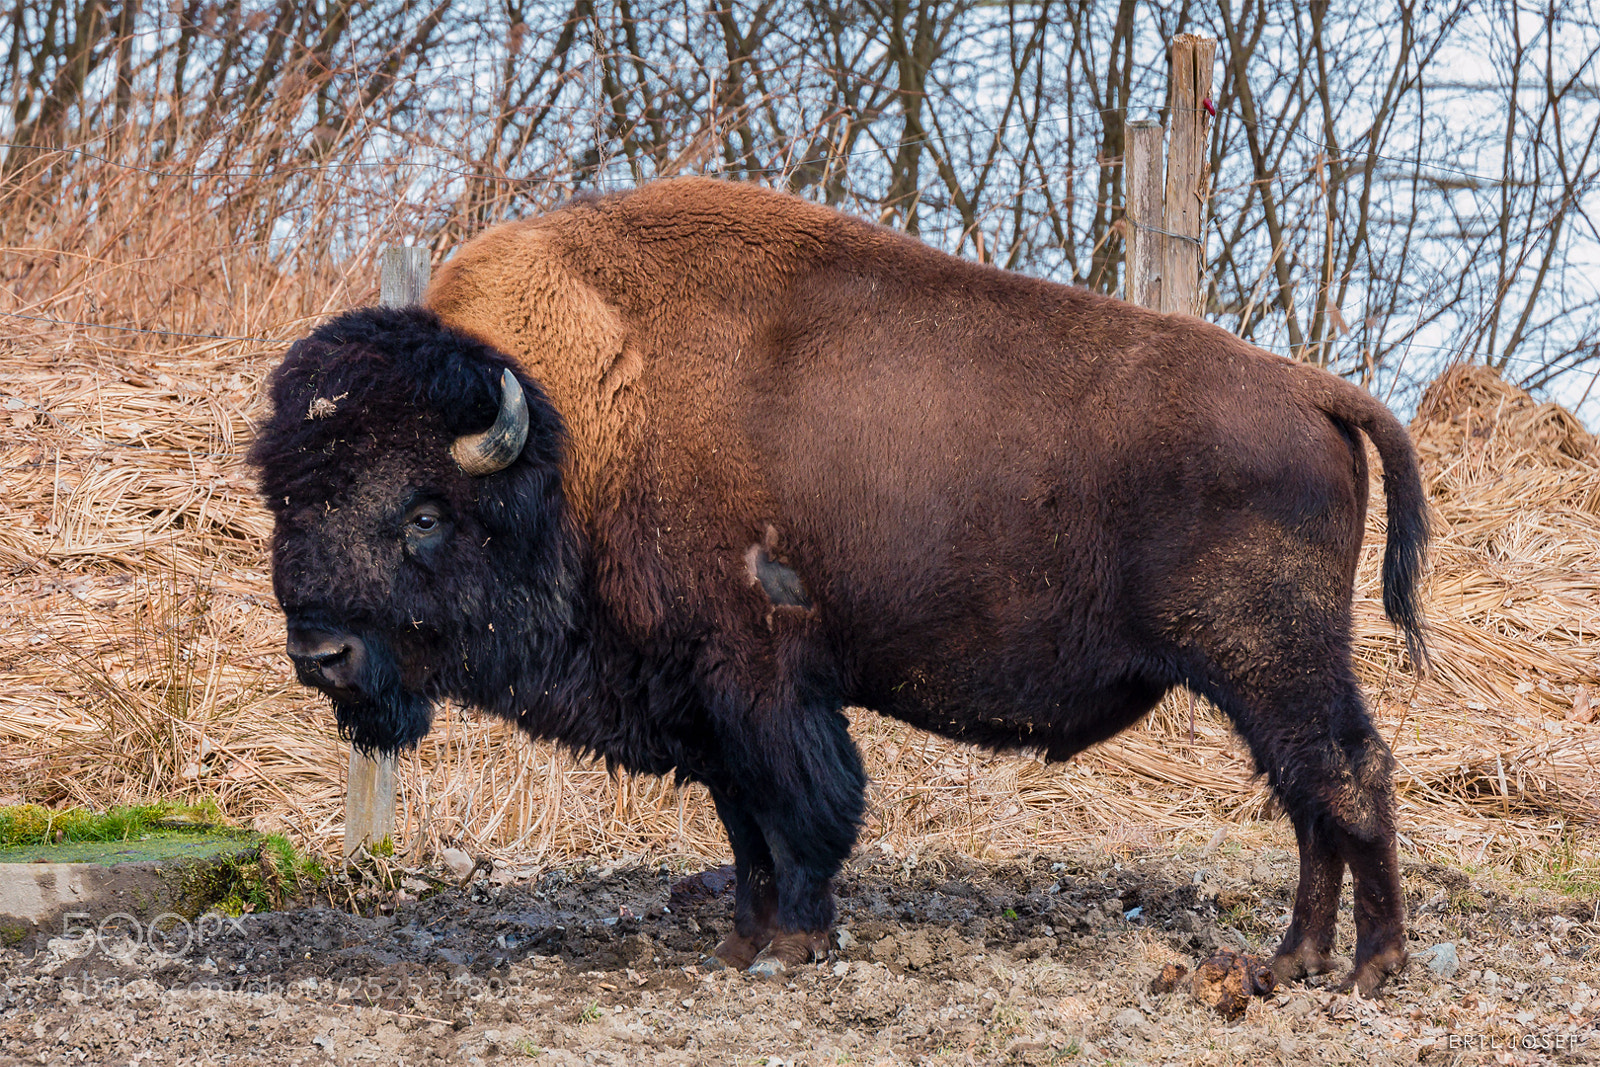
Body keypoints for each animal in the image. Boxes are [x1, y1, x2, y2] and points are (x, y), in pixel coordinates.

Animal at [252, 178, 1427, 995]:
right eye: (285, 497)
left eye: (422, 511)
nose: (320, 652)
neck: (577, 428)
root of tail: (1316, 390)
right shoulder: (704, 701)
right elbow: (746, 826)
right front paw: (742, 942)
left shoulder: (763, 679)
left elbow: (805, 810)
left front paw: (796, 941)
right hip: (1266, 671)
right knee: (1312, 792)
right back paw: (1294, 961)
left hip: (1269, 657)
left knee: (1347, 776)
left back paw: (1365, 968)